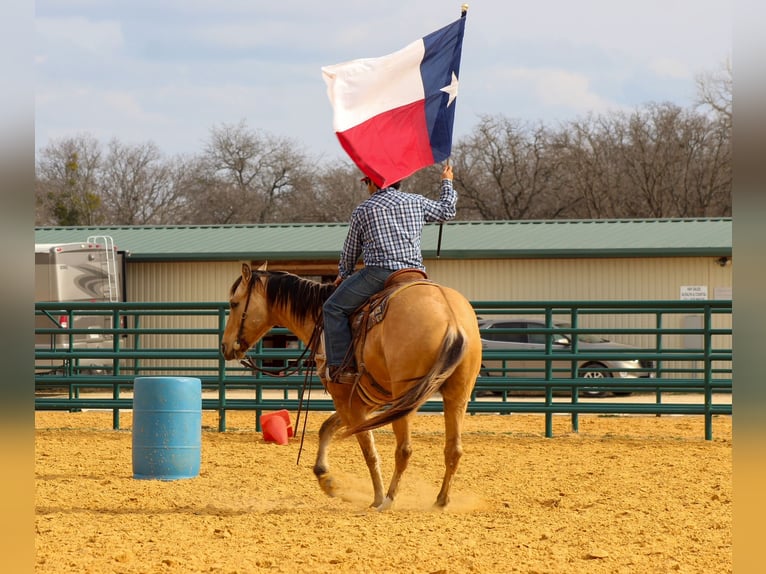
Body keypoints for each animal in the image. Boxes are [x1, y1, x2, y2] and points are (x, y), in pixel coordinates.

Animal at [220, 262, 482, 510]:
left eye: (234, 303)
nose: (224, 346)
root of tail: (451, 319)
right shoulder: (363, 401)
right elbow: (327, 427)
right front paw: (326, 478)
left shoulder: (348, 401)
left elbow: (368, 450)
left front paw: (375, 497)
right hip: (456, 396)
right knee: (453, 449)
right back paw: (441, 501)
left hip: (406, 398)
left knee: (404, 450)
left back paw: (388, 500)